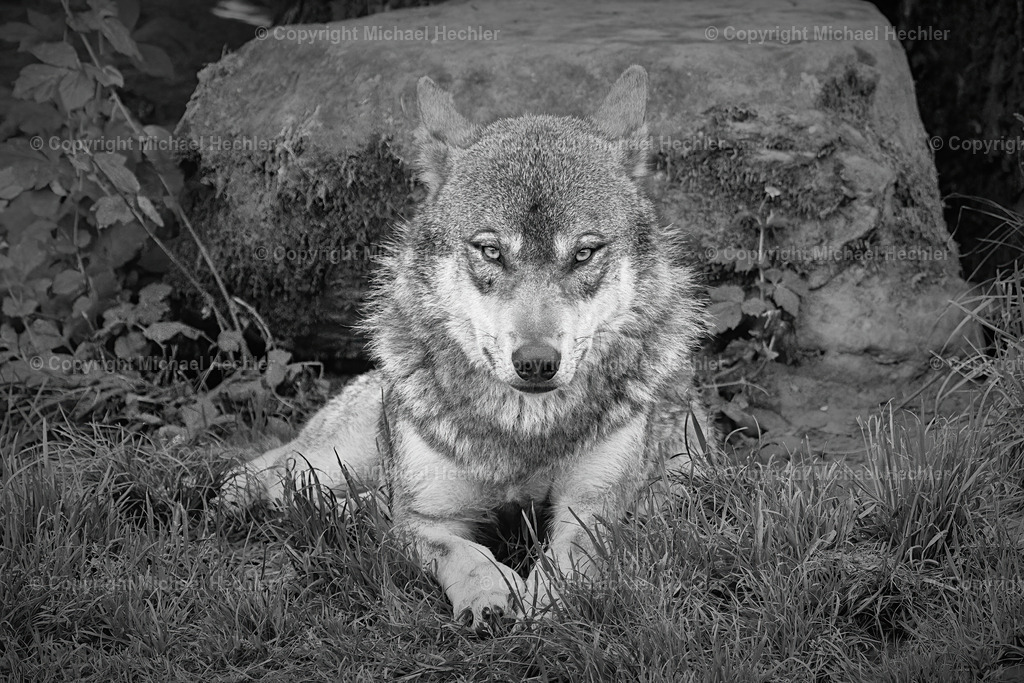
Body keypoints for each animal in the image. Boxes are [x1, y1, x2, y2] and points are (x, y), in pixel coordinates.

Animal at [221, 65, 713, 635]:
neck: (524, 432)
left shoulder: (594, 511)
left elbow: (571, 559)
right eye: (491, 250)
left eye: (584, 253)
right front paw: (491, 595)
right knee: (285, 478)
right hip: (339, 458)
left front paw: (545, 600)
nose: (537, 362)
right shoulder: (428, 519)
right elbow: (463, 551)